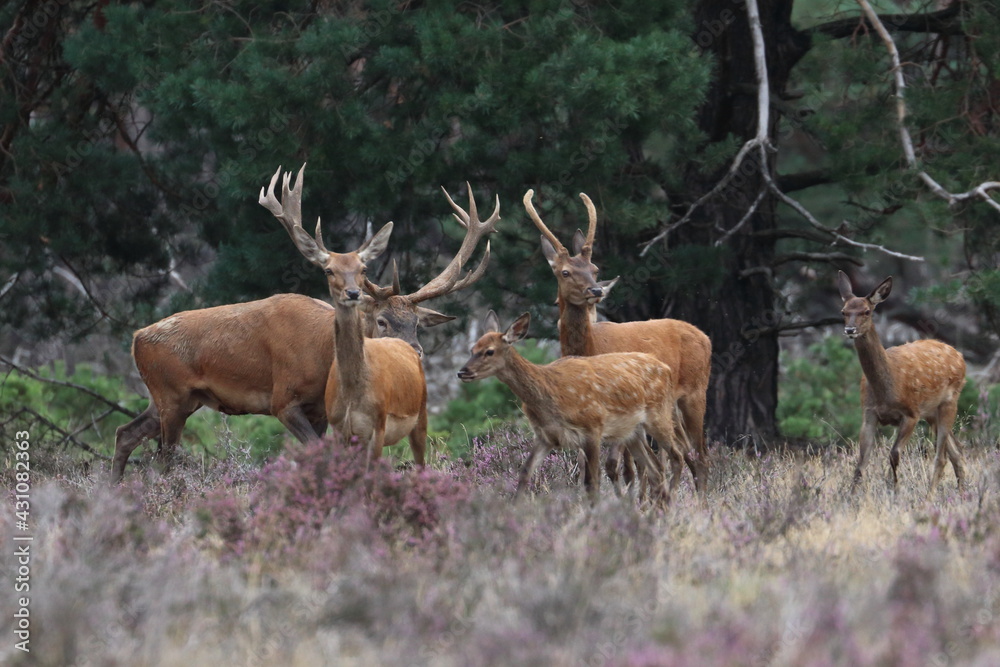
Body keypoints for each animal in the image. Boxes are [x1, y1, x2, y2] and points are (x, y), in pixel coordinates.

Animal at [110, 167, 496, 480]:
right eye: (382, 321)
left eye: (417, 323)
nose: (413, 352)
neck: (322, 356)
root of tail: (136, 337)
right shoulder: (283, 399)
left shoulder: (322, 409)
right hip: (170, 395)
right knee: (163, 458)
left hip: (175, 398)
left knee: (125, 433)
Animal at [458, 314, 680, 506]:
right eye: (472, 349)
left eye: (489, 351)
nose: (462, 372)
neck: (551, 396)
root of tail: (667, 368)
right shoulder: (545, 436)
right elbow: (524, 474)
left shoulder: (592, 428)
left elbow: (592, 483)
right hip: (632, 432)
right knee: (655, 468)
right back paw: (657, 509)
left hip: (660, 415)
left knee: (676, 456)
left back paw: (668, 503)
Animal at [524, 190, 712, 494]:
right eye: (564, 272)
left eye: (595, 268)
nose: (596, 291)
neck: (590, 348)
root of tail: (704, 336)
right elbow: (591, 468)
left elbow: (622, 467)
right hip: (668, 406)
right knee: (683, 451)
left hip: (696, 391)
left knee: (700, 453)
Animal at [836, 268, 968, 494]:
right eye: (844, 311)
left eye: (867, 311)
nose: (850, 330)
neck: (888, 389)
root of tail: (959, 355)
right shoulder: (868, 413)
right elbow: (861, 461)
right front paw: (850, 496)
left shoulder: (911, 413)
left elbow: (894, 455)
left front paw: (895, 491)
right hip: (932, 412)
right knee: (956, 452)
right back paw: (961, 493)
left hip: (950, 401)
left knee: (941, 457)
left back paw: (930, 496)